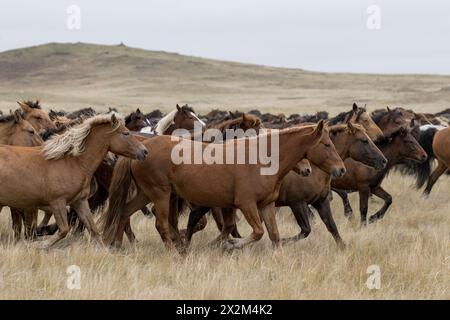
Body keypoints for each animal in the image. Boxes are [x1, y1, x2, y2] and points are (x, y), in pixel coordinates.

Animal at [0, 114, 148, 249]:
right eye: (126, 133)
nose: (144, 151)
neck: (73, 163)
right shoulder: (57, 202)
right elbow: (64, 230)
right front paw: (39, 244)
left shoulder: (79, 202)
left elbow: (93, 230)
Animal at [98, 119, 344, 250]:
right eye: (326, 144)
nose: (341, 169)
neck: (260, 159)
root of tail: (143, 148)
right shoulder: (246, 204)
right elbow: (257, 232)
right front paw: (231, 245)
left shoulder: (265, 206)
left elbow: (273, 236)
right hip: (160, 195)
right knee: (161, 225)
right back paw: (174, 252)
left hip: (146, 194)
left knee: (123, 212)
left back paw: (116, 245)